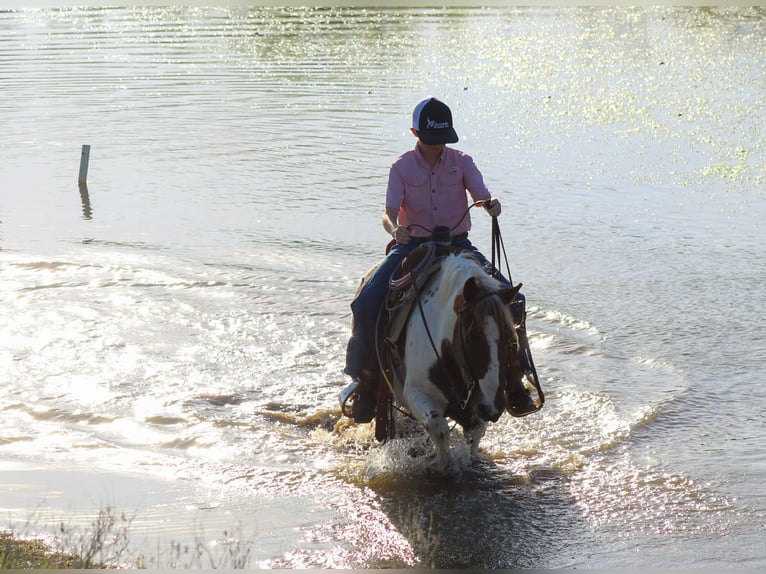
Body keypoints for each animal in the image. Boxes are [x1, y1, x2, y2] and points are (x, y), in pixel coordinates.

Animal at [379, 249, 525, 467]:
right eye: (472, 335)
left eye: (511, 338)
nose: (494, 407)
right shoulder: (415, 392)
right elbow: (438, 427)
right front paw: (443, 463)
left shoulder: (477, 405)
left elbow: (474, 436)